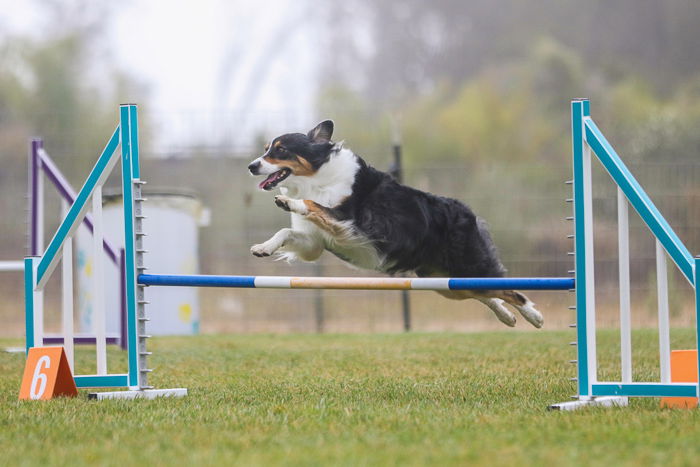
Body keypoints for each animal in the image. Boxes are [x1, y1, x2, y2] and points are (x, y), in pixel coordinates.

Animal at [249, 119, 544, 328]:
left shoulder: (346, 220)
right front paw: (263, 248)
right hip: (444, 282)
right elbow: (286, 232)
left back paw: (534, 316)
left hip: (469, 266)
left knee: (509, 289)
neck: (317, 177)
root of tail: (470, 213)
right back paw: (507, 317)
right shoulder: (314, 244)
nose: (252, 166)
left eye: (280, 150)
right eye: (266, 150)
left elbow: (312, 205)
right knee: (487, 293)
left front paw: (290, 203)